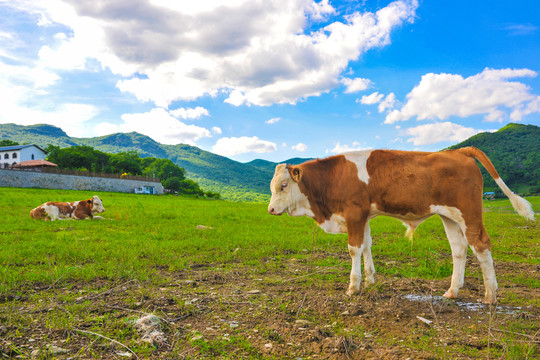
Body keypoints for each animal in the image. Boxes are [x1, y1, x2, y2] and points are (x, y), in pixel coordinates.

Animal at [268, 146, 532, 304]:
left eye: (283, 185)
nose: (270, 210)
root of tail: (458, 151)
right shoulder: (364, 216)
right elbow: (367, 245)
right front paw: (370, 280)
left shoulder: (354, 213)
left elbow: (354, 249)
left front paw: (353, 286)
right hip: (449, 216)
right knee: (459, 249)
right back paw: (452, 291)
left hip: (469, 212)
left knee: (481, 244)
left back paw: (490, 295)